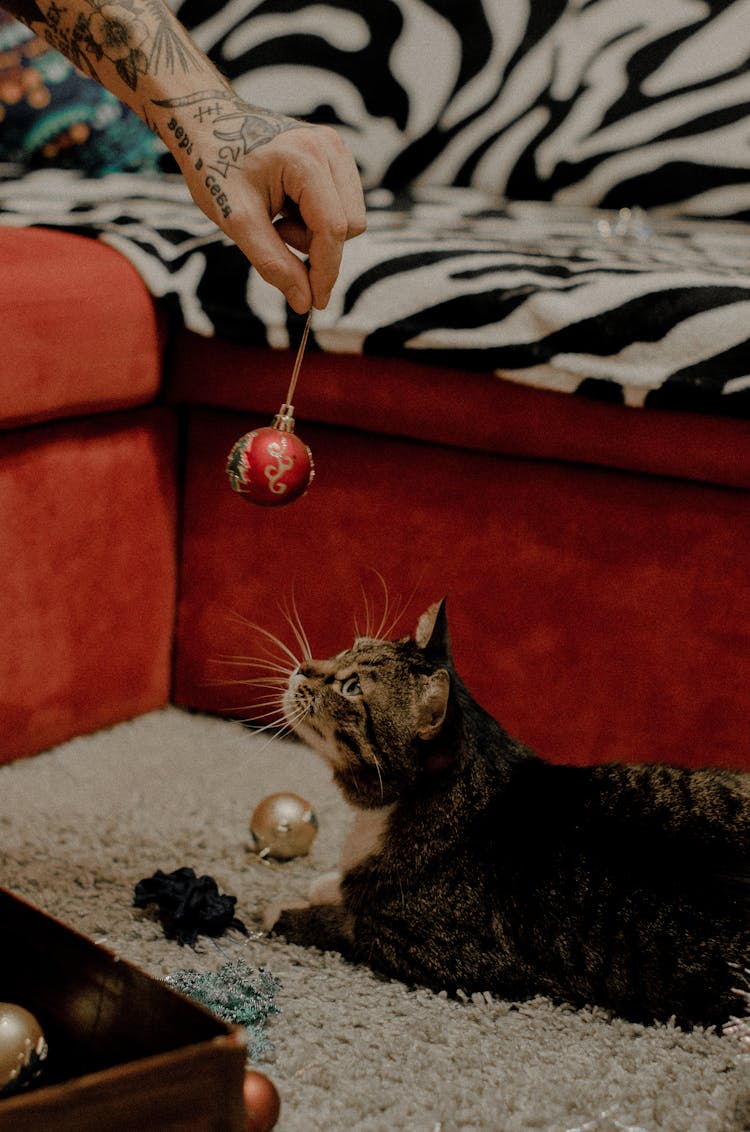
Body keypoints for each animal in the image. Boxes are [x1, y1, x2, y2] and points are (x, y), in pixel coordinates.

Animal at [265, 602, 750, 1027]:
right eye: (348, 647)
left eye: (351, 688)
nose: (302, 666)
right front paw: (327, 882)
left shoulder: (436, 951)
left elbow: (338, 921)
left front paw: (277, 910)